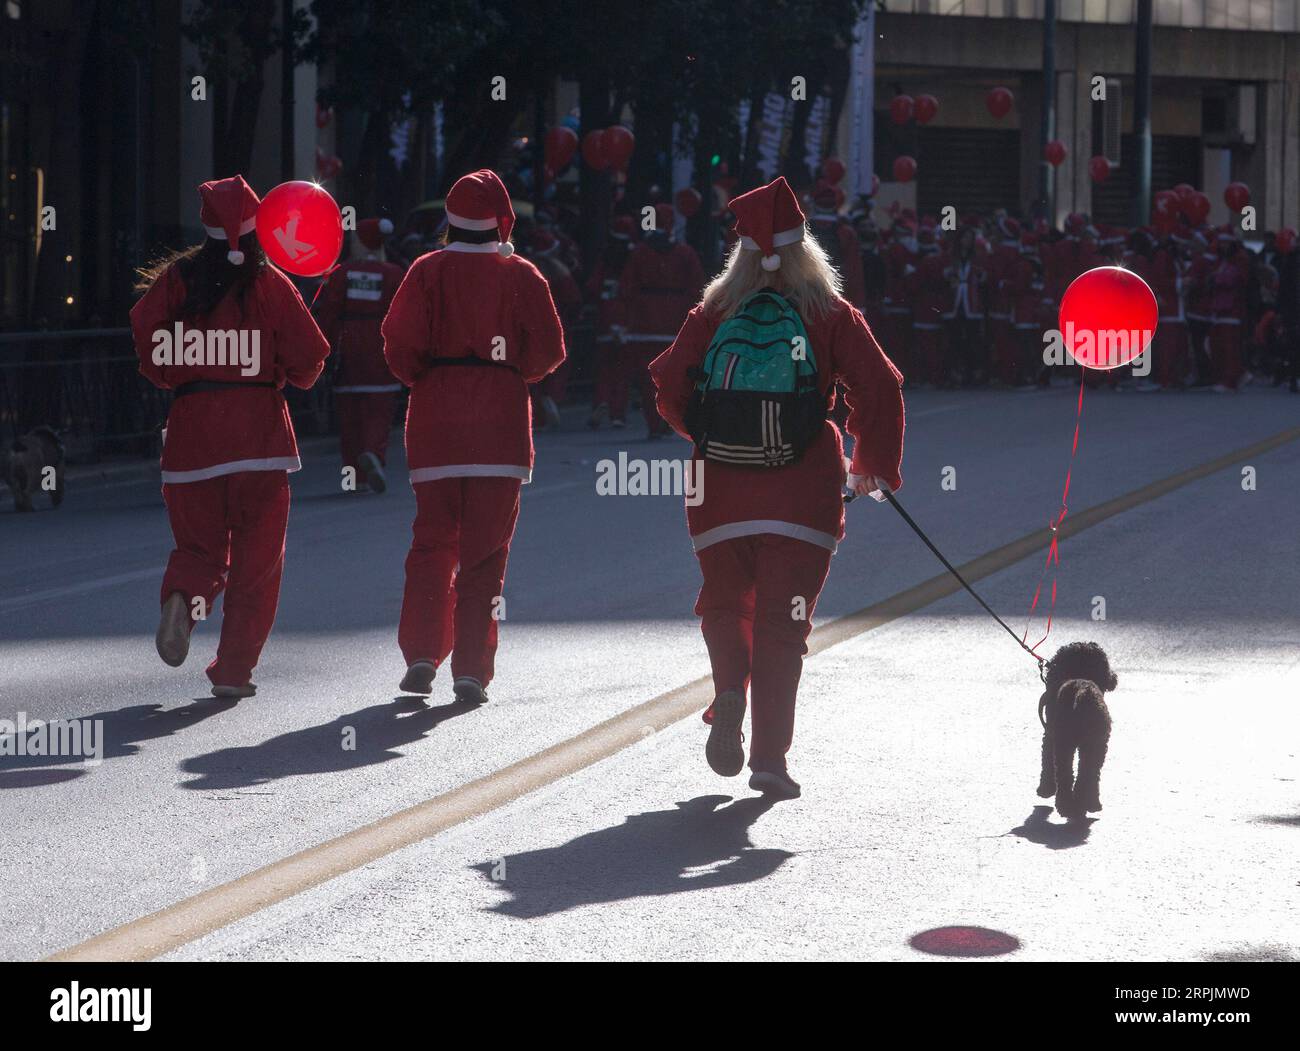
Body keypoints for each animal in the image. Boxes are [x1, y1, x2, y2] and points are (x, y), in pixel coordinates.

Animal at [1034, 639, 1118, 822]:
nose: (1114, 677)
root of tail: (1082, 694)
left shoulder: (1049, 735)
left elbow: (1046, 761)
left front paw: (1045, 789)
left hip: (1064, 741)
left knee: (1066, 773)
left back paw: (1067, 806)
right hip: (1096, 745)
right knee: (1089, 773)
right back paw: (1089, 803)